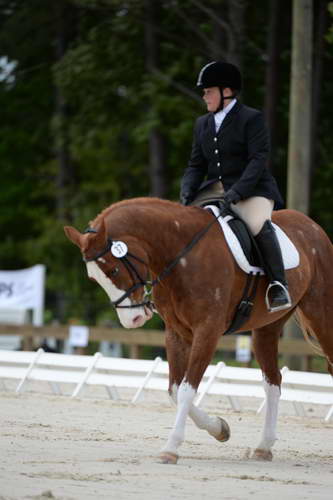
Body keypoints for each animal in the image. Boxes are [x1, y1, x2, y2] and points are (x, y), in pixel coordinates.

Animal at [64, 196, 332, 464]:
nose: (134, 319)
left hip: (321, 315)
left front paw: (171, 448)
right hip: (266, 328)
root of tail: (314, 227)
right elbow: (174, 390)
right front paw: (220, 428)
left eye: (113, 270)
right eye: (94, 278)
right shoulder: (177, 333)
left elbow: (186, 390)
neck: (181, 255)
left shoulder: (208, 330)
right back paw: (263, 447)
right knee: (273, 381)